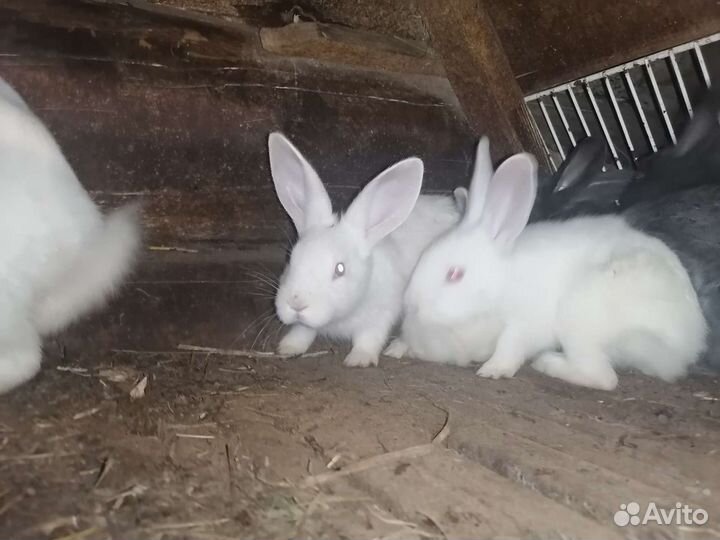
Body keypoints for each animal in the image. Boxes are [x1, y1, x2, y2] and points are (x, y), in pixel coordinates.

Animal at [268, 132, 460, 368]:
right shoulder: (306, 325)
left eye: (340, 269)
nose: (296, 303)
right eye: (292, 259)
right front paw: (288, 348)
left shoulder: (380, 314)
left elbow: (369, 337)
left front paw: (359, 359)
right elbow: (302, 331)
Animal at [400, 147, 707, 390]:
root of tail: (685, 344)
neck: (501, 281)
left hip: (579, 318)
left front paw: (493, 370)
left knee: (603, 378)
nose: (412, 305)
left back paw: (548, 363)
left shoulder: (524, 323)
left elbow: (510, 346)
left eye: (455, 274)